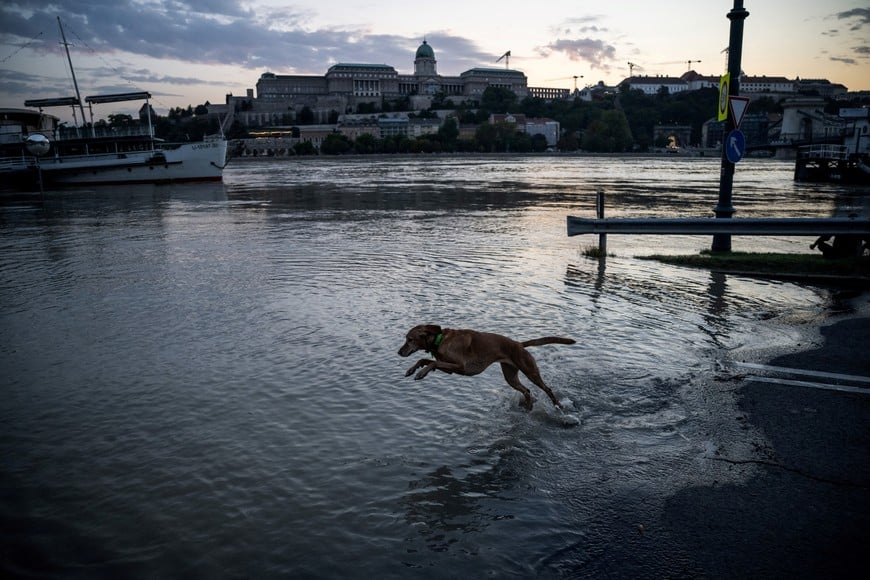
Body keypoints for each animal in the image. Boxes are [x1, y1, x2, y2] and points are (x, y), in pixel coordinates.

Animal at [398, 324, 576, 410]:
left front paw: (420, 373)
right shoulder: (449, 369)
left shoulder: (460, 366)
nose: (399, 352)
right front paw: (411, 370)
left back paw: (558, 406)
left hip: (530, 371)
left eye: (409, 339)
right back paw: (527, 406)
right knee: (526, 391)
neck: (440, 340)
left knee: (547, 389)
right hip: (510, 376)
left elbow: (432, 362)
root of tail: (519, 344)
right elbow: (424, 359)